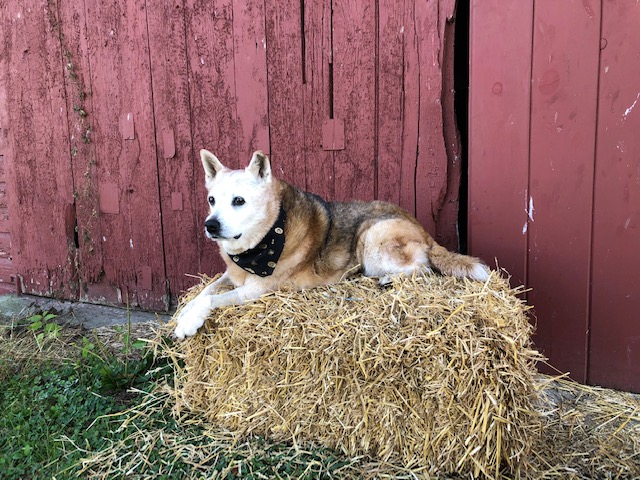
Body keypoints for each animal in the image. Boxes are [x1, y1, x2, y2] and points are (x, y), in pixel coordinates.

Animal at [172, 149, 488, 338]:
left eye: (239, 201)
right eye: (212, 200)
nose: (210, 225)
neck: (264, 239)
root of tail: (423, 230)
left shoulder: (259, 289)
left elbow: (212, 298)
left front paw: (188, 322)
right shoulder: (230, 275)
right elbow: (205, 291)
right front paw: (184, 314)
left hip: (372, 239)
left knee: (423, 267)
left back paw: (389, 278)